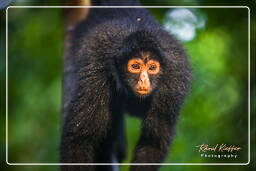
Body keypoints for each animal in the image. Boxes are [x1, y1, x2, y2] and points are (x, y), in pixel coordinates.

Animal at [61, 0, 191, 171]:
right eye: (135, 66)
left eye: (152, 67)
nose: (144, 81)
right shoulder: (96, 67)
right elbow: (80, 139)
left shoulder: (174, 79)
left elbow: (153, 142)